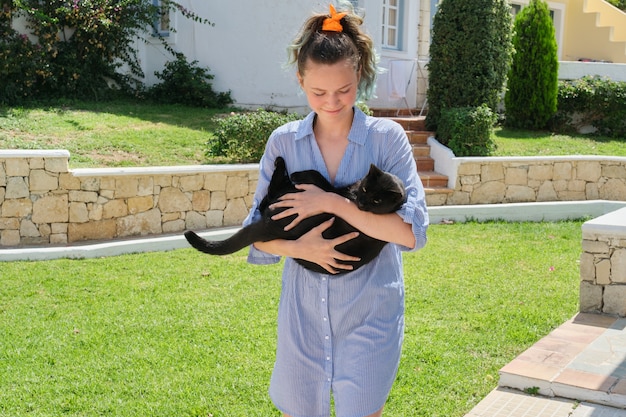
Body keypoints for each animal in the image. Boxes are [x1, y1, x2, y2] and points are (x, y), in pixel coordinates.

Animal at [183, 156, 404, 272]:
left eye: (377, 201)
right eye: (366, 189)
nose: (362, 202)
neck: (351, 195)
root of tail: (269, 226)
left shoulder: (331, 192)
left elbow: (320, 179)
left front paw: (300, 174)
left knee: (268, 198)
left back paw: (282, 165)